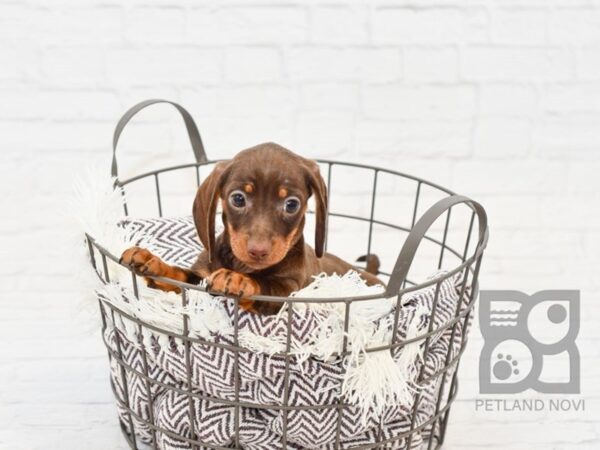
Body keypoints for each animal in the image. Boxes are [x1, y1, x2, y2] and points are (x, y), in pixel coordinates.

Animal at [120, 143, 382, 312]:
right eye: (238, 199)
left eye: (291, 204)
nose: (258, 251)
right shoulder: (199, 276)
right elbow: (180, 275)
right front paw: (153, 261)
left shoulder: (289, 289)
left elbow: (263, 286)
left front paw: (238, 279)